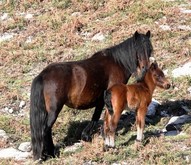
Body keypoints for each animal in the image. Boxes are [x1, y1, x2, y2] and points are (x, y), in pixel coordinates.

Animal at [30, 30, 152, 160]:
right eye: (138, 49)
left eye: (149, 48)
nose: (145, 69)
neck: (117, 63)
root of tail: (43, 75)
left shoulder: (102, 100)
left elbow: (97, 116)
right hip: (54, 110)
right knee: (46, 129)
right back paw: (49, 154)